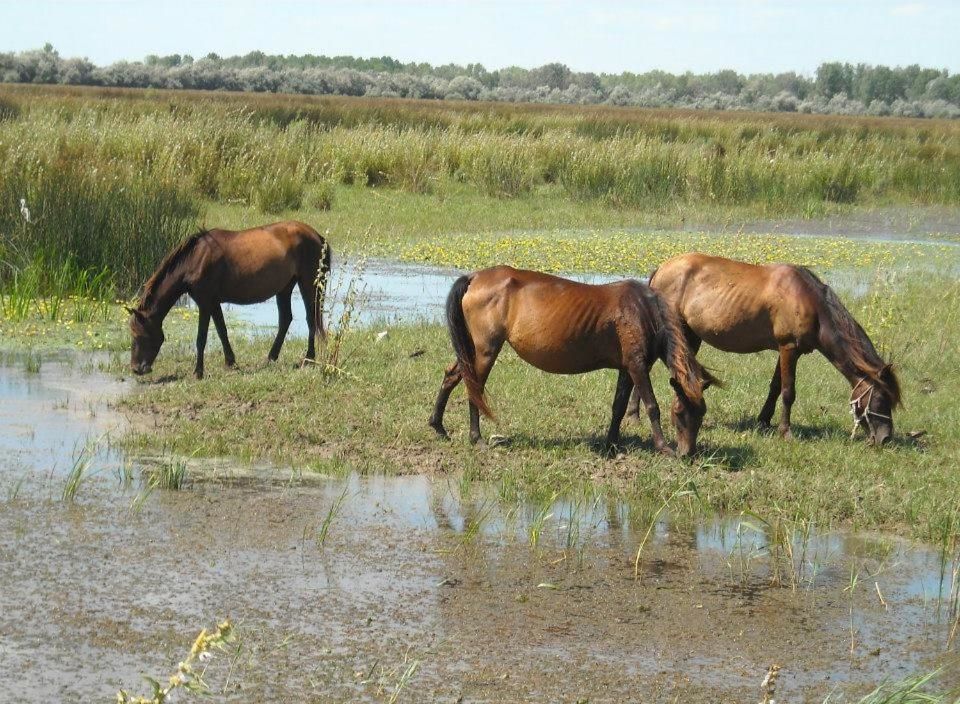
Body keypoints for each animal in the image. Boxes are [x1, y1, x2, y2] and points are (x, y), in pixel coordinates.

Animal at [127, 221, 332, 380]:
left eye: (138, 335)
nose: (136, 369)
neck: (196, 259)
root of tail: (317, 236)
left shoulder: (204, 303)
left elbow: (201, 338)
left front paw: (198, 372)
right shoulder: (213, 303)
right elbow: (222, 331)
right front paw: (230, 362)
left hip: (308, 284)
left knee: (311, 318)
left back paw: (308, 358)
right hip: (285, 287)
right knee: (286, 320)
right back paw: (271, 358)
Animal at [432, 266, 716, 456]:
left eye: (702, 413)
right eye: (679, 413)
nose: (687, 454)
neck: (643, 310)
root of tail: (475, 277)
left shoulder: (626, 368)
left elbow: (618, 407)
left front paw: (611, 444)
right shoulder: (637, 366)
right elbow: (651, 406)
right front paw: (664, 447)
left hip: (474, 349)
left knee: (452, 376)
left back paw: (438, 426)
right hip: (486, 350)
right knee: (474, 388)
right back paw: (476, 437)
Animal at [632, 250, 904, 442]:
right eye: (881, 399)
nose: (885, 438)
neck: (810, 302)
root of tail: (661, 269)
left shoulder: (785, 351)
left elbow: (775, 387)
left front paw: (763, 421)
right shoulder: (789, 348)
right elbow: (788, 392)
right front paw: (786, 432)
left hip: (691, 335)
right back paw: (635, 415)